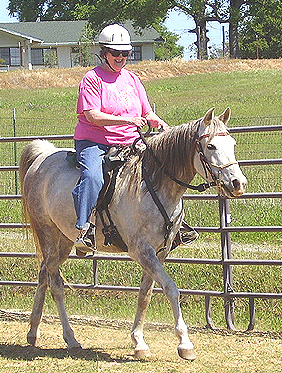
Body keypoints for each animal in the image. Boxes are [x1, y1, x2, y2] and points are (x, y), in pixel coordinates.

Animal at [18, 107, 246, 360]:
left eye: (233, 144)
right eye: (211, 146)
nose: (238, 183)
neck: (152, 185)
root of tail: (43, 157)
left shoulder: (160, 251)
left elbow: (145, 295)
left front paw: (138, 342)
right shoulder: (141, 250)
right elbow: (171, 289)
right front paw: (185, 344)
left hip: (63, 240)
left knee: (44, 274)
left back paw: (33, 332)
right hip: (46, 232)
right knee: (56, 284)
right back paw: (71, 338)